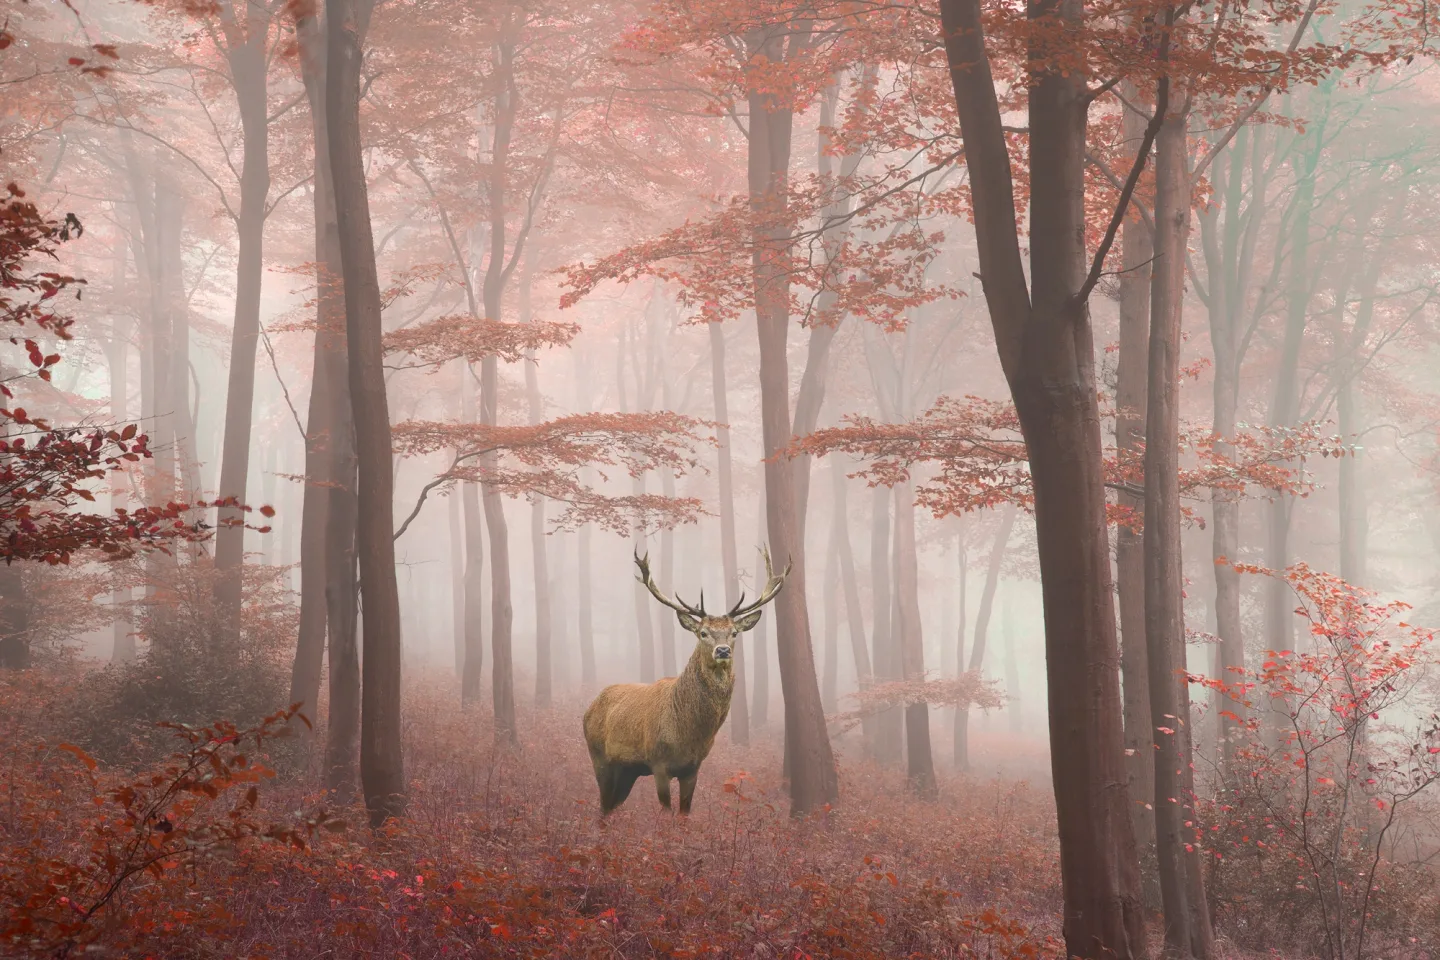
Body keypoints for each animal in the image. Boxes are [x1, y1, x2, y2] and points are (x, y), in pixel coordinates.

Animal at [582, 547, 789, 816]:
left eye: (734, 633)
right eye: (703, 633)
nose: (723, 650)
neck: (688, 733)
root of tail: (589, 708)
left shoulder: (693, 767)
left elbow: (684, 814)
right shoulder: (658, 762)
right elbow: (666, 811)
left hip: (628, 771)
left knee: (610, 807)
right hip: (598, 756)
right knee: (603, 805)